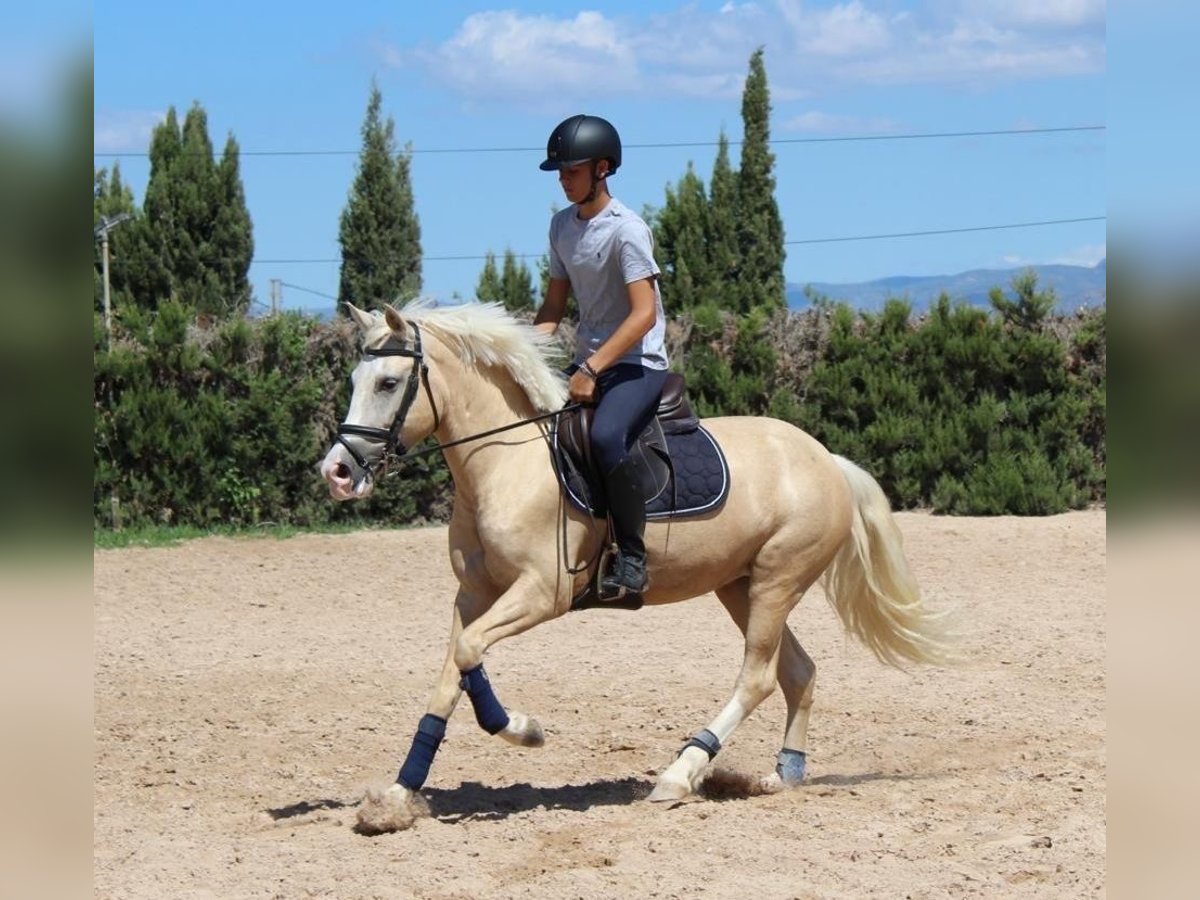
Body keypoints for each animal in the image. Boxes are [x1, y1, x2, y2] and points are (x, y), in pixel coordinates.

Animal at [321, 300, 955, 835]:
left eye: (388, 382)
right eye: (356, 381)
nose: (338, 473)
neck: (507, 465)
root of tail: (826, 458)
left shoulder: (540, 594)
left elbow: (469, 652)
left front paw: (524, 731)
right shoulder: (474, 594)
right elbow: (452, 671)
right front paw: (397, 797)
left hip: (777, 581)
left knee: (759, 677)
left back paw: (680, 775)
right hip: (741, 586)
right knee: (798, 672)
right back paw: (782, 774)